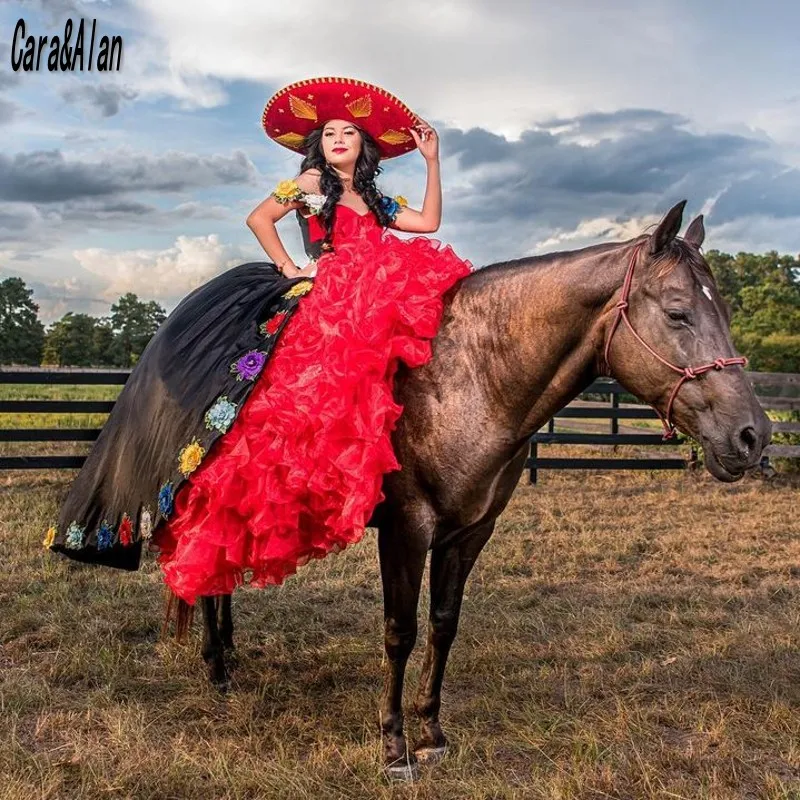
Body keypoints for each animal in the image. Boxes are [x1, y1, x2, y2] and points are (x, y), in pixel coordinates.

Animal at [169, 202, 768, 780]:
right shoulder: (406, 530)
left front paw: (431, 732)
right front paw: (394, 745)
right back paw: (216, 665)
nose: (753, 434)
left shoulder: (471, 531)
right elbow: (400, 632)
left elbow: (443, 625)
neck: (467, 381)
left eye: (727, 312)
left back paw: (227, 651)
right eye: (677, 313)